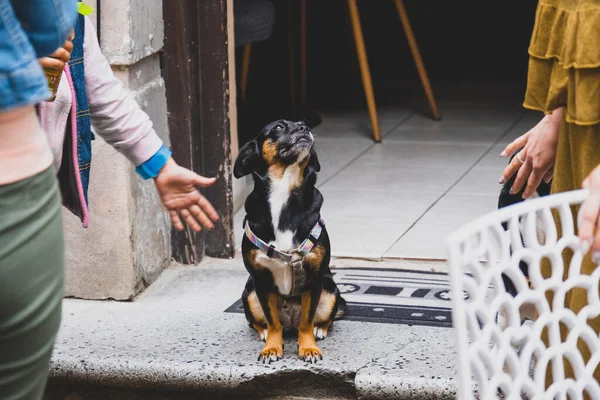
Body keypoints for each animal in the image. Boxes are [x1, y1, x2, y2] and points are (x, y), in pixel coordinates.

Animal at [234, 118, 346, 362]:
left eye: (303, 123)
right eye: (278, 127)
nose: (305, 128)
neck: (284, 189)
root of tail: (290, 323)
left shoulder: (314, 279)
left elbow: (307, 319)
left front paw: (308, 348)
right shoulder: (260, 280)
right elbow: (272, 320)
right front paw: (272, 347)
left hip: (330, 290)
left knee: (324, 317)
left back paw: (320, 329)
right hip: (249, 293)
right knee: (258, 322)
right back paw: (264, 333)